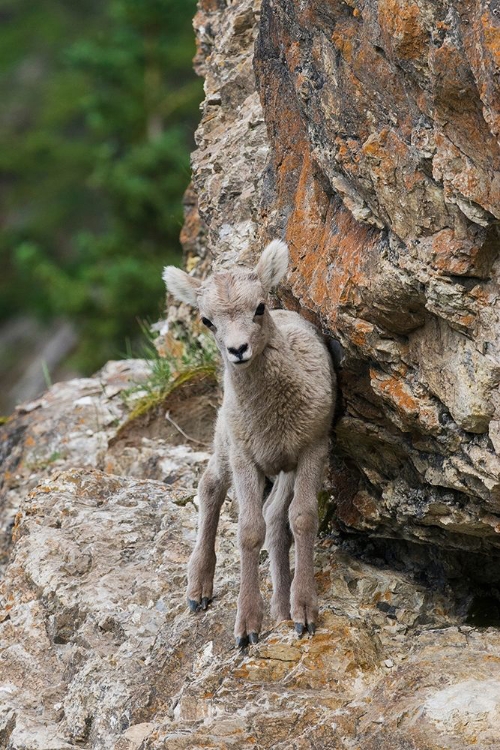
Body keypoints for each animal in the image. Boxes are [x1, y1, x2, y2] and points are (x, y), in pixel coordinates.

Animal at [164, 239, 336, 648]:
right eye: (207, 321)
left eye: (259, 307)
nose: (238, 350)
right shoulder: (245, 458)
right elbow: (249, 531)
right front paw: (246, 628)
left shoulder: (312, 448)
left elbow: (300, 519)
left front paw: (303, 613)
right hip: (225, 440)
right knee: (210, 487)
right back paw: (198, 590)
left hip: (282, 468)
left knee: (275, 517)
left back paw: (281, 606)